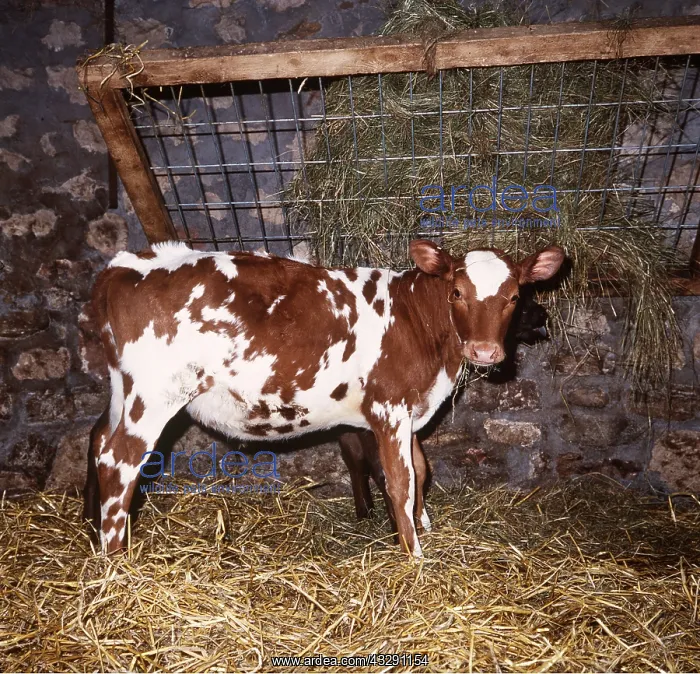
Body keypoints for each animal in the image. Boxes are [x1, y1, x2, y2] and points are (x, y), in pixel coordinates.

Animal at [83, 239, 564, 557]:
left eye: (515, 297)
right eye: (457, 292)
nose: (485, 351)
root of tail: (128, 265)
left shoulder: (410, 410)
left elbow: (421, 471)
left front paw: (424, 527)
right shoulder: (388, 408)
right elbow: (400, 481)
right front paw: (414, 555)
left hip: (124, 389)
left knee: (98, 440)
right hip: (155, 394)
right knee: (119, 461)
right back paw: (117, 560)